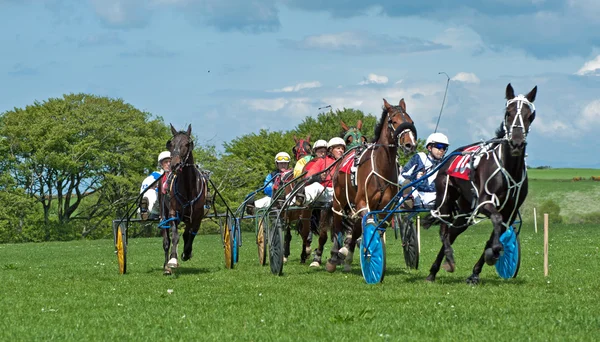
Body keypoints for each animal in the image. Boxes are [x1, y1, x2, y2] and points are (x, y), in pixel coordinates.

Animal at [158, 123, 207, 276]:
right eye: (171, 144)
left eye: (187, 144)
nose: (174, 165)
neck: (188, 188)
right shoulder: (174, 213)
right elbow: (175, 236)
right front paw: (173, 259)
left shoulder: (197, 216)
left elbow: (190, 234)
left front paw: (187, 252)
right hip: (163, 213)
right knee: (166, 241)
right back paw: (166, 266)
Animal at [328, 99, 418, 272]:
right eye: (394, 121)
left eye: (410, 121)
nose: (410, 145)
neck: (381, 167)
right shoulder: (363, 204)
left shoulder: (384, 209)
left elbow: (373, 230)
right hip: (339, 201)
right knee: (336, 224)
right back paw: (334, 256)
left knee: (355, 228)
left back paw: (347, 255)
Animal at [426, 84, 540, 284]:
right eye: (508, 113)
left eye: (530, 115)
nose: (517, 143)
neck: (508, 167)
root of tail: (450, 156)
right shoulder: (485, 202)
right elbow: (496, 219)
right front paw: (494, 252)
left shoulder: (510, 211)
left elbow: (496, 232)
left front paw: (477, 271)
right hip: (445, 198)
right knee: (444, 230)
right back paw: (446, 261)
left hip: (465, 210)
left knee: (453, 232)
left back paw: (438, 267)